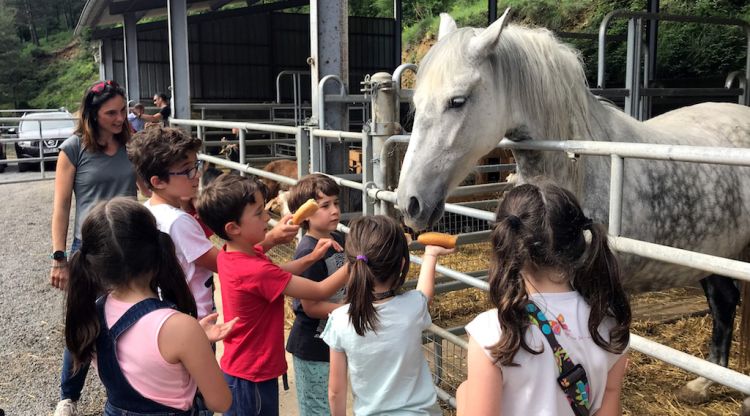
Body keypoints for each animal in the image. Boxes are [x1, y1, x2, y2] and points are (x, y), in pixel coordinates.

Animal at [402, 9, 750, 410]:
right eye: (417, 102)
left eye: (458, 100)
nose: (408, 202)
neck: (579, 164)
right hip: (712, 253)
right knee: (724, 303)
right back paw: (701, 385)